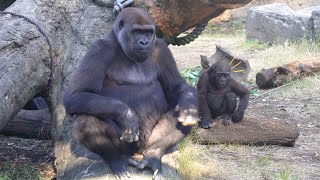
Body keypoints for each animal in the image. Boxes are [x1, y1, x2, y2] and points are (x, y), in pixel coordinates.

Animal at [63, 7, 199, 179]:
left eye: (148, 32)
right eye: (136, 32)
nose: (144, 42)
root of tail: (138, 153)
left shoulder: (161, 49)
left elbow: (176, 87)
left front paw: (189, 108)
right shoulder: (98, 49)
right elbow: (76, 93)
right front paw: (127, 115)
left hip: (148, 143)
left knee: (178, 120)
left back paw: (154, 155)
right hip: (127, 147)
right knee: (85, 119)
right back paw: (116, 159)